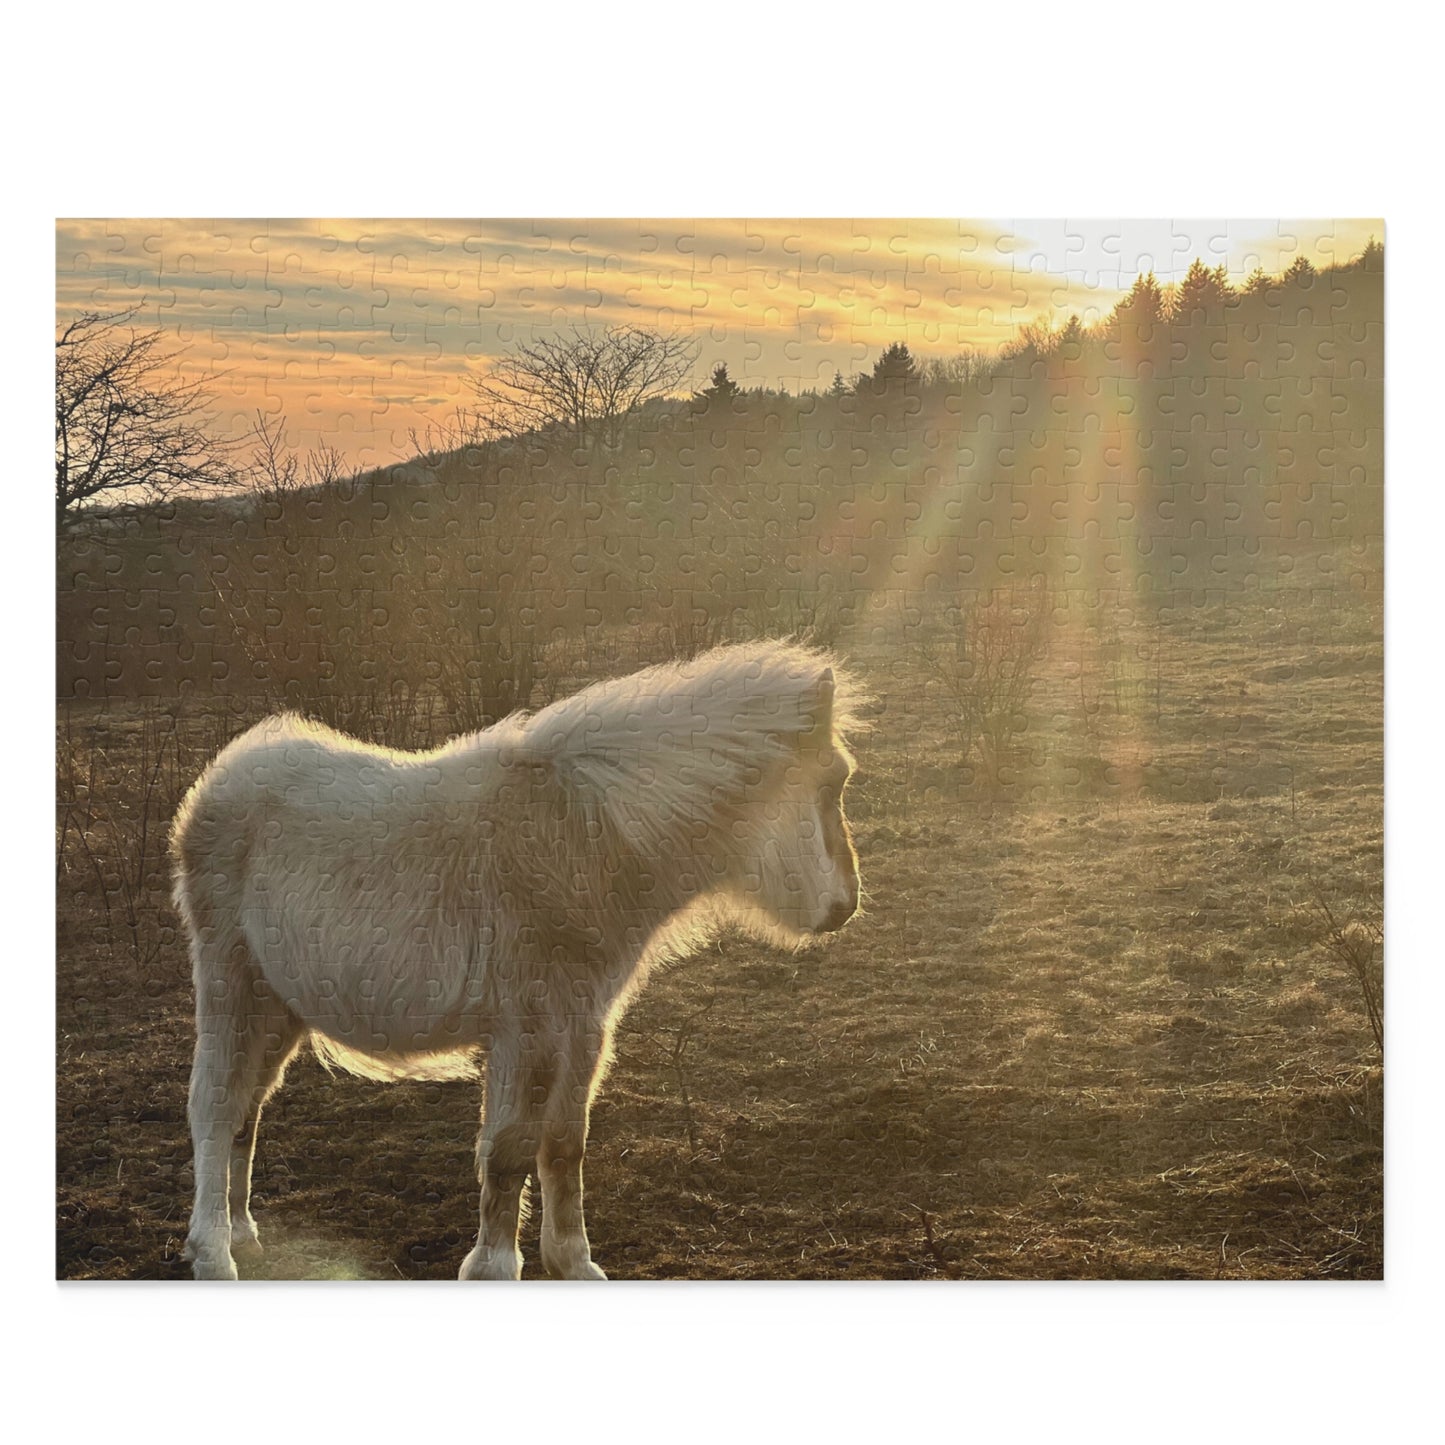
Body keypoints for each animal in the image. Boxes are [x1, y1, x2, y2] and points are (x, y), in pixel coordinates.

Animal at [170, 639, 865, 1280]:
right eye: (833, 781)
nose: (845, 905)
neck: (582, 840)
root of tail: (220, 781)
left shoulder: (583, 1026)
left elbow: (564, 1145)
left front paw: (573, 1262)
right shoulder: (525, 1031)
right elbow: (508, 1151)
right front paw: (495, 1267)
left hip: (280, 1005)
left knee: (246, 1111)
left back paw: (242, 1233)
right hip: (232, 984)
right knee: (214, 1106)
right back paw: (213, 1254)